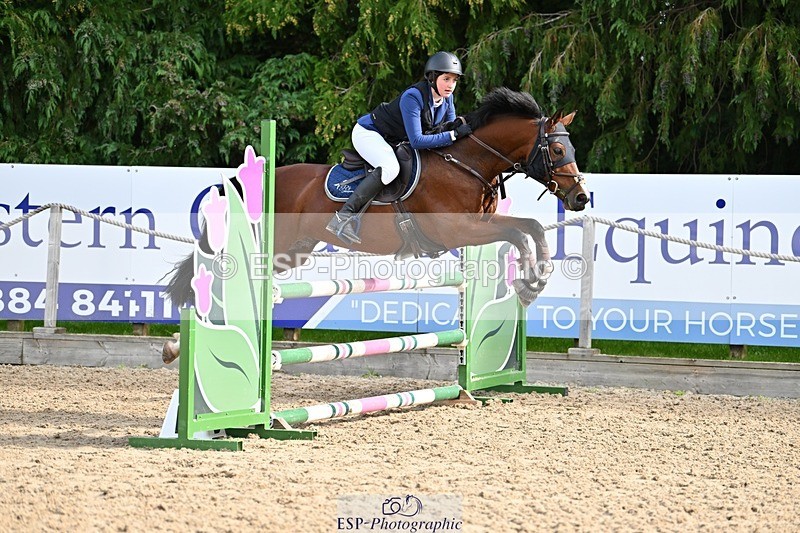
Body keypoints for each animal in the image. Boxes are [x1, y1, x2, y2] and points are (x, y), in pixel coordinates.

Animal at [161, 87, 589, 362]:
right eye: (556, 149)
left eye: (570, 146)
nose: (581, 199)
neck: (468, 163)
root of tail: (256, 181)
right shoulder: (459, 229)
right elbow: (519, 231)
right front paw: (530, 284)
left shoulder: (481, 223)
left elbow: (530, 226)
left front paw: (536, 279)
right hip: (272, 246)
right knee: (222, 280)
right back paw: (181, 346)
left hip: (293, 251)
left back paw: (178, 346)